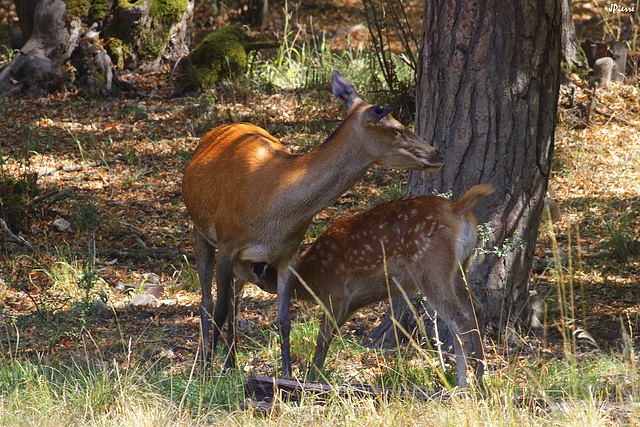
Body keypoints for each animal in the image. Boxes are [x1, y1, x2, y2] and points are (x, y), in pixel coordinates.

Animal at [181, 70, 444, 378]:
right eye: (397, 129)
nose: (437, 154)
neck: (272, 211)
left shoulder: (288, 253)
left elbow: (284, 320)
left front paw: (286, 376)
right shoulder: (227, 242)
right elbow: (218, 309)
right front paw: (205, 376)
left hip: (243, 260)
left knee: (236, 299)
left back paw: (231, 364)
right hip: (199, 228)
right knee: (208, 301)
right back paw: (208, 363)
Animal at [248, 184, 492, 388]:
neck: (312, 276)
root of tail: (458, 209)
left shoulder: (335, 292)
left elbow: (322, 337)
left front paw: (311, 377)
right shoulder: (352, 303)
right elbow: (329, 336)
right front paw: (314, 375)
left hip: (430, 265)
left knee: (459, 317)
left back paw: (461, 386)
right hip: (460, 267)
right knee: (477, 308)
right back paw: (481, 379)